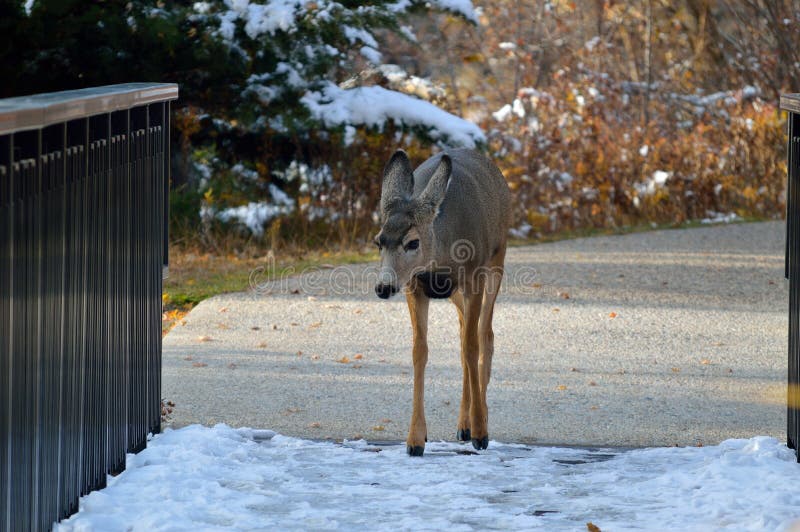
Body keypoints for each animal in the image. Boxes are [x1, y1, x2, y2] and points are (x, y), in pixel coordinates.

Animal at [374, 149, 510, 458]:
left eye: (412, 242)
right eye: (378, 241)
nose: (384, 287)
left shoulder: (474, 277)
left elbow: (472, 347)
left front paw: (482, 433)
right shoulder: (414, 284)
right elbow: (419, 351)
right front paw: (415, 439)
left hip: (497, 259)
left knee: (485, 334)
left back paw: (477, 421)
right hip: (454, 293)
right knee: (463, 334)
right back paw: (463, 425)